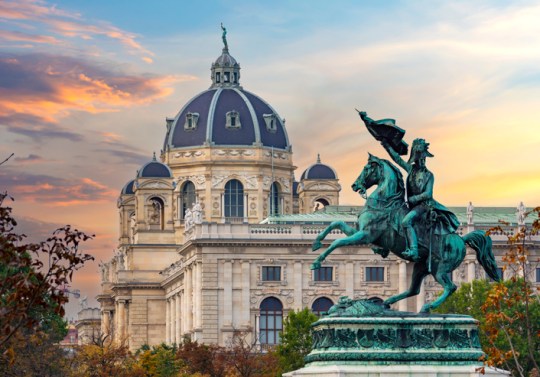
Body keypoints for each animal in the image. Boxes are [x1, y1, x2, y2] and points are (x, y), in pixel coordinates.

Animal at [310, 153, 500, 312]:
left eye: (366, 168)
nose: (354, 185)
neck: (384, 204)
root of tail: (461, 239)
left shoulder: (365, 235)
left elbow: (337, 242)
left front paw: (317, 262)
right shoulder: (361, 233)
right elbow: (336, 223)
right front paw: (316, 242)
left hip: (441, 269)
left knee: (450, 287)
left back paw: (427, 307)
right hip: (421, 267)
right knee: (413, 290)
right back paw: (387, 302)